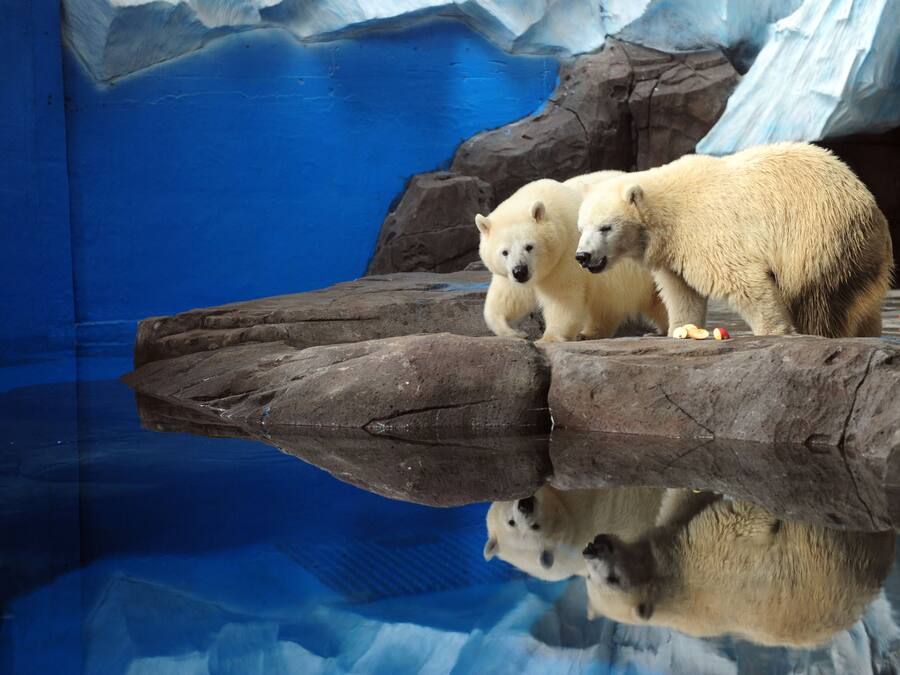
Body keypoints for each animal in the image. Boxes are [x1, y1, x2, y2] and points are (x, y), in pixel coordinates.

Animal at [476, 178, 668, 342]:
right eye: (504, 252)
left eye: (529, 246)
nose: (520, 271)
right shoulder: (514, 274)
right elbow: (509, 296)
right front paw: (514, 332)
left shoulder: (566, 256)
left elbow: (562, 298)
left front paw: (548, 338)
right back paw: (589, 333)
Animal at [575, 142, 894, 337]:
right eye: (581, 227)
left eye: (605, 227)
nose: (583, 256)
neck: (666, 212)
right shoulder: (673, 254)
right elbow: (682, 293)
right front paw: (680, 329)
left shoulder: (706, 234)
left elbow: (745, 282)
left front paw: (774, 331)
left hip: (819, 238)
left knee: (819, 300)